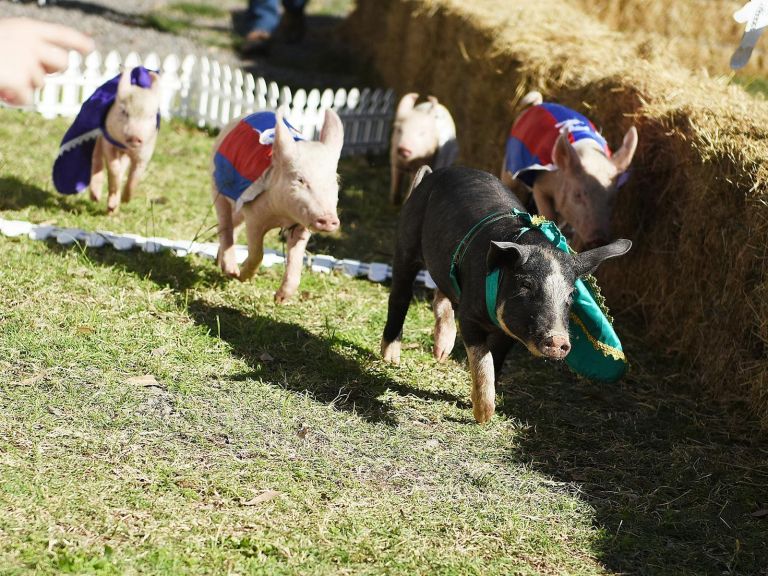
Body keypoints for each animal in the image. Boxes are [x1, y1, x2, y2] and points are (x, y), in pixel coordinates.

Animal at [210, 109, 342, 304]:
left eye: (335, 181)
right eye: (300, 180)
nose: (328, 219)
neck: (282, 216)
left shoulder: (301, 224)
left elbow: (296, 260)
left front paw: (280, 299)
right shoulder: (254, 214)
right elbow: (258, 252)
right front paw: (242, 277)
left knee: (234, 225)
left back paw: (220, 264)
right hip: (217, 186)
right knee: (224, 224)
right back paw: (231, 270)